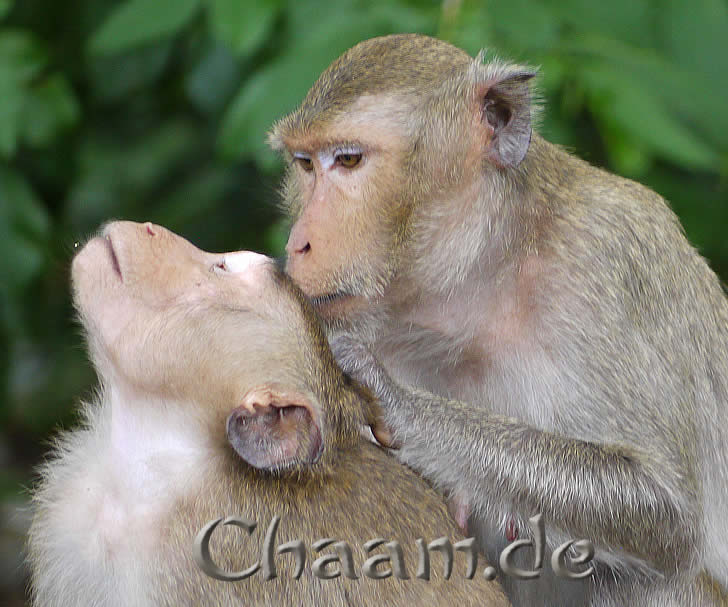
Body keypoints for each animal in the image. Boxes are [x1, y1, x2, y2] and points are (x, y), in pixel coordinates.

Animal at [268, 34, 728, 607]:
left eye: (348, 160)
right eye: (305, 165)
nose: (297, 243)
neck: (481, 285)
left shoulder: (611, 259)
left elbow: (667, 512)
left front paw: (393, 401)